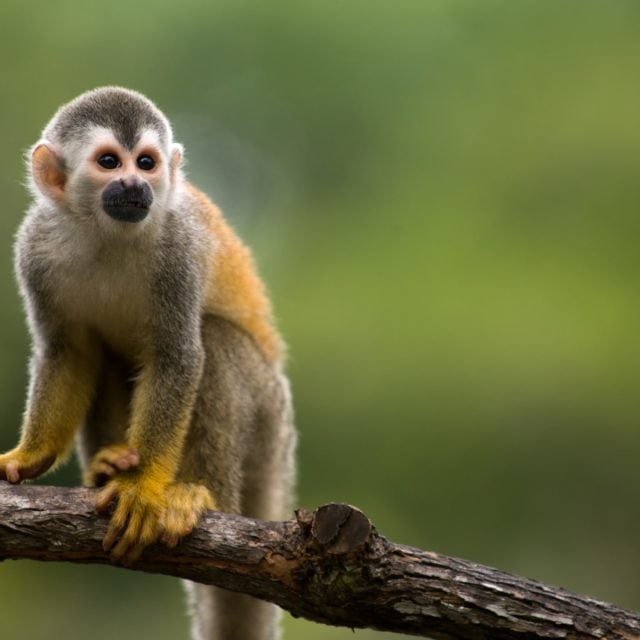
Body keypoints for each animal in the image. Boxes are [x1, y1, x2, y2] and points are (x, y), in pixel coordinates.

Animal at [0, 87, 296, 640]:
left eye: (146, 162)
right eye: (109, 162)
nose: (136, 185)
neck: (105, 232)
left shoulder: (179, 247)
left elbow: (178, 355)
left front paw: (143, 488)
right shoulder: (34, 247)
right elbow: (68, 351)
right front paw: (29, 456)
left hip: (270, 418)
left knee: (214, 342)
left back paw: (196, 496)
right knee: (104, 354)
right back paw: (108, 464)